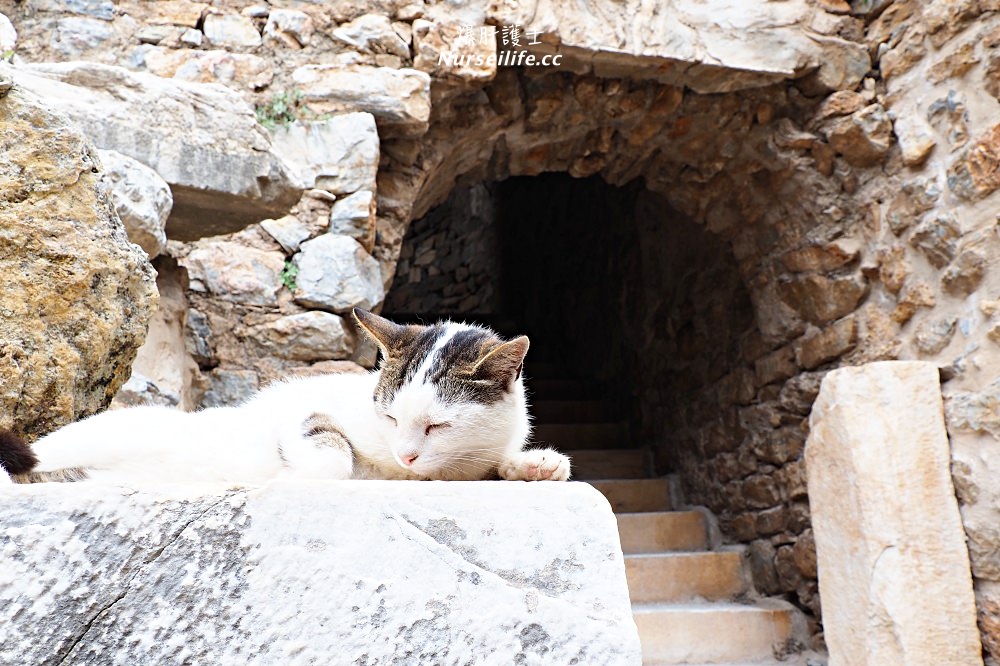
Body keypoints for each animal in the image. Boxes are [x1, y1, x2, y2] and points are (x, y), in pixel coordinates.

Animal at [0, 308, 572, 486]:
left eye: (437, 426)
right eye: (389, 418)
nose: (407, 454)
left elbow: (500, 462)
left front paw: (535, 464)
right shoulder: (301, 408)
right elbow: (332, 453)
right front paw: (296, 471)